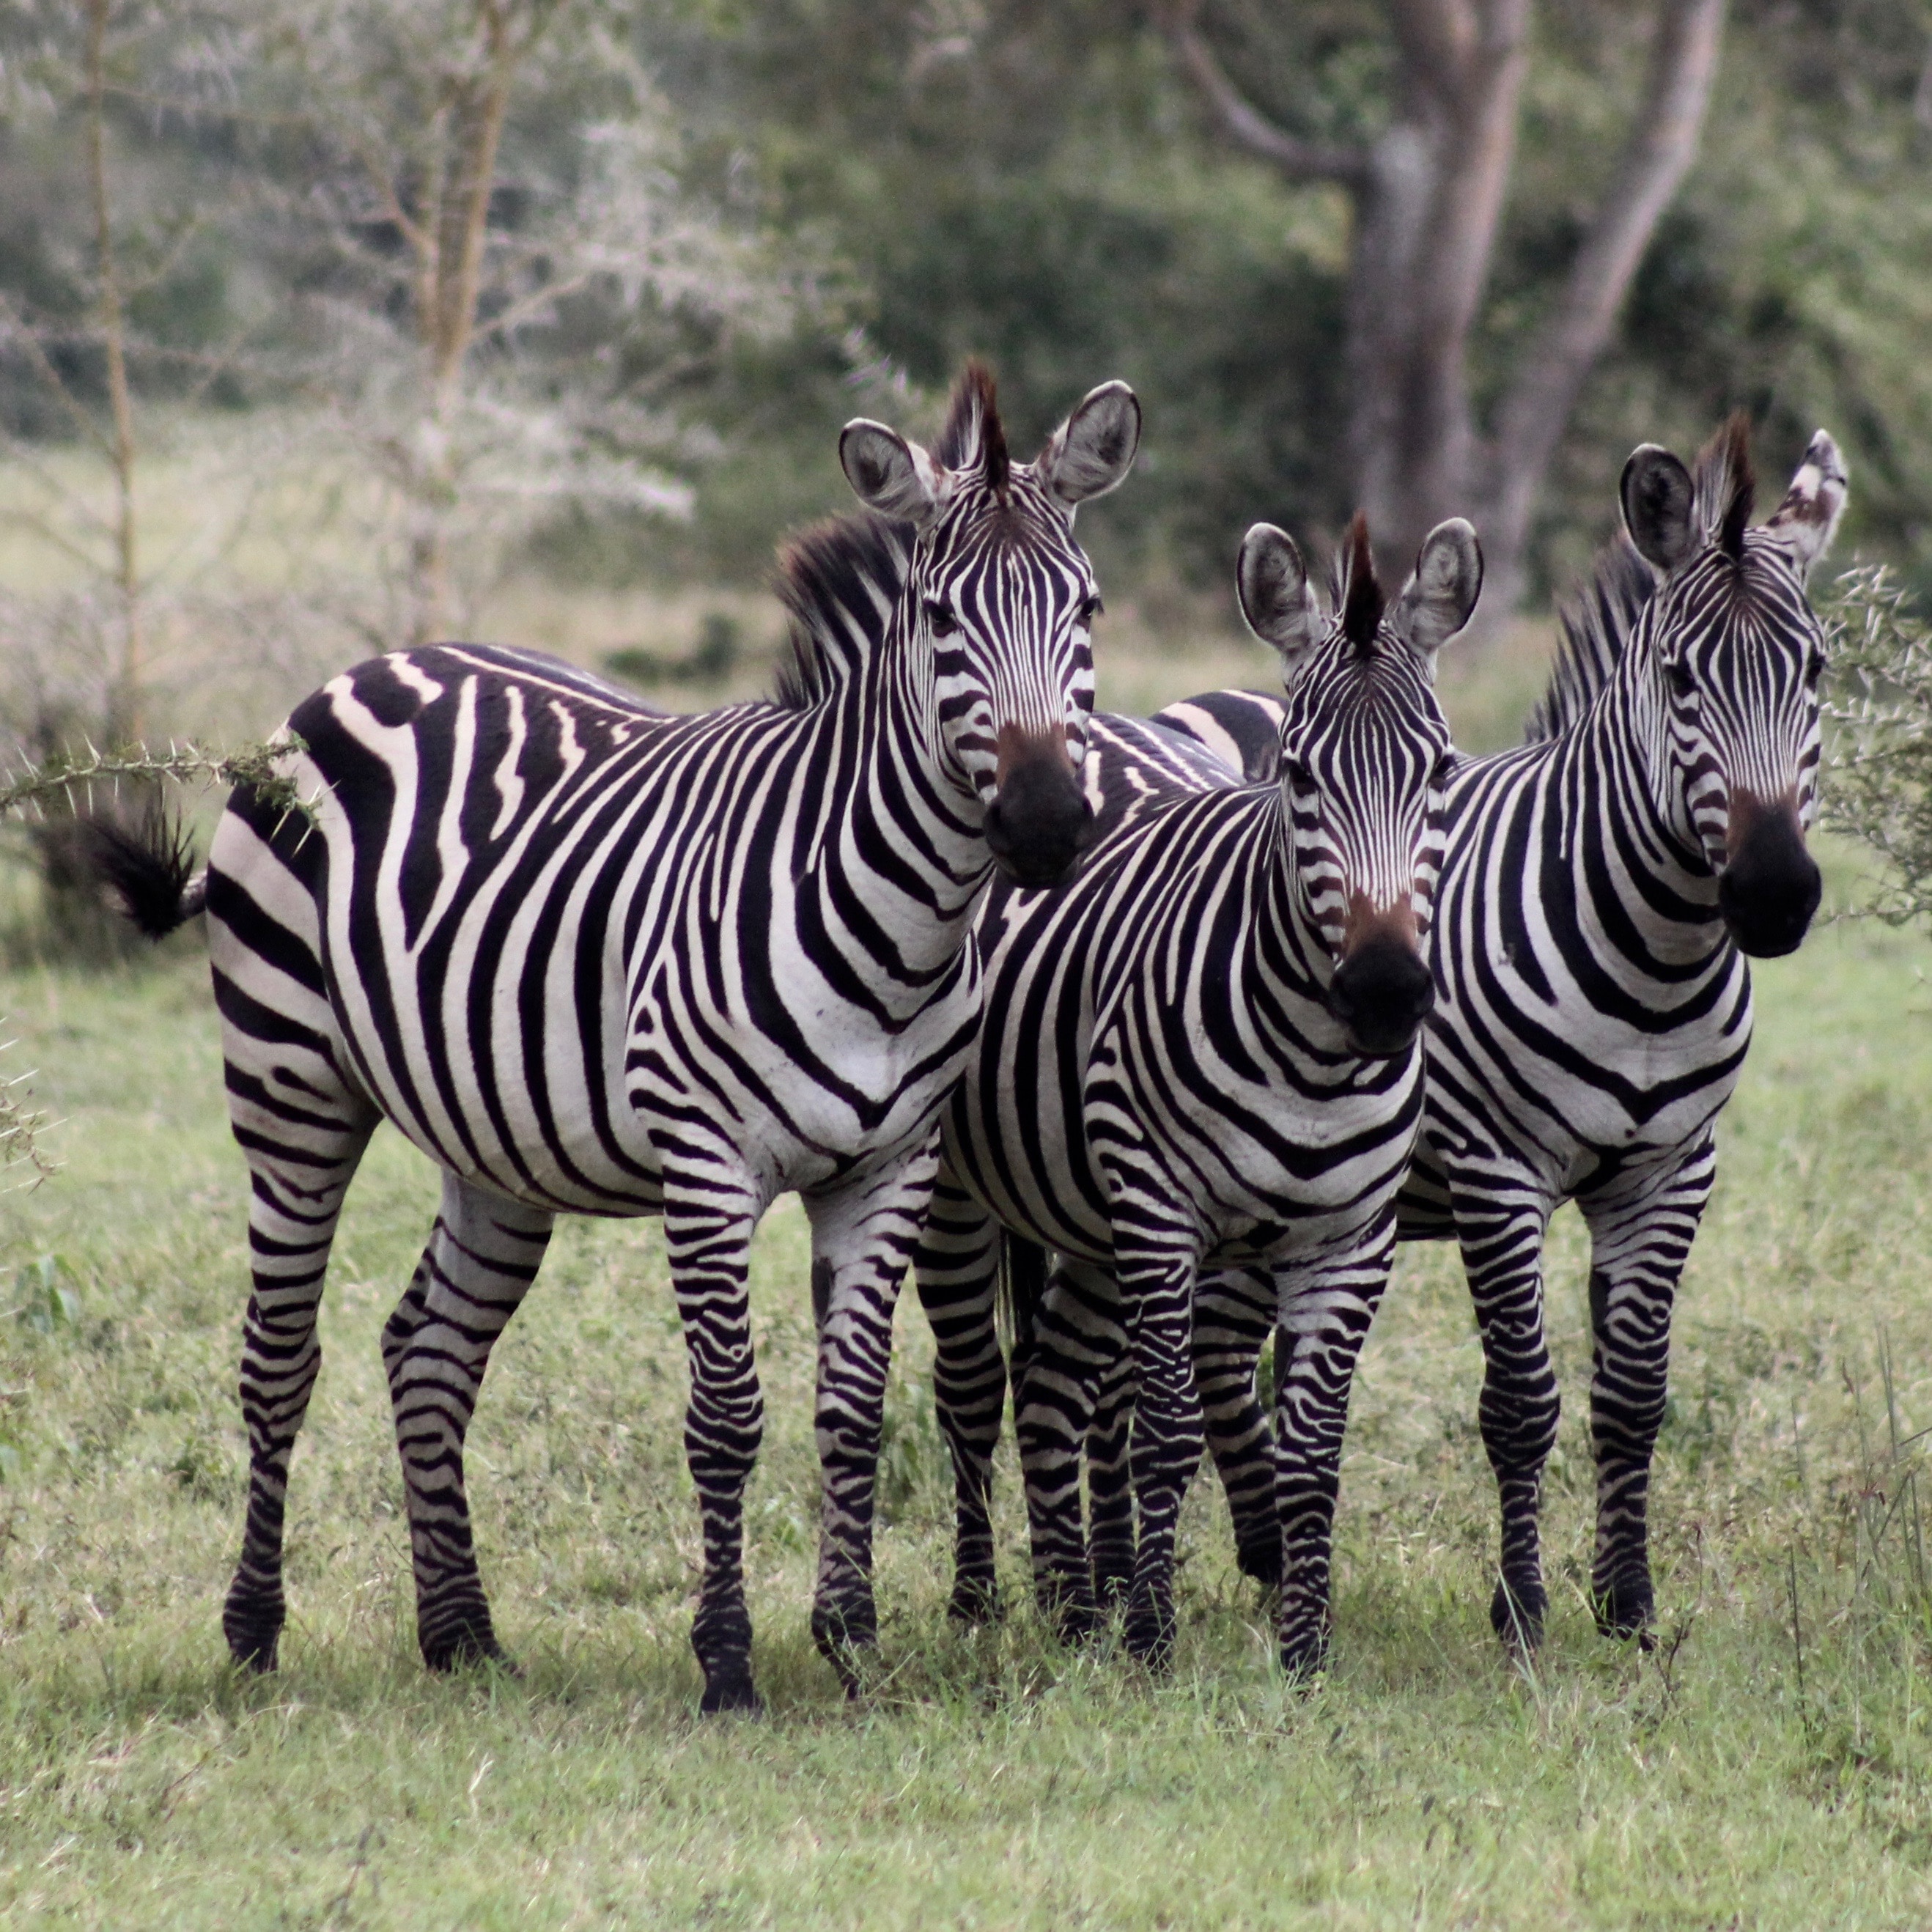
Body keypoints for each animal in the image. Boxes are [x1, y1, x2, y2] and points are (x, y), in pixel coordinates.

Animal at [90, 363, 1135, 1708]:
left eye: (1087, 609)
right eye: (941, 617)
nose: (1051, 825)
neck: (896, 926)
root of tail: (366, 670)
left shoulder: (891, 1167)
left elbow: (852, 1408)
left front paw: (851, 1641)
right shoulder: (707, 1159)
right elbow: (729, 1414)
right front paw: (728, 1660)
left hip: (490, 1136)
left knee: (427, 1351)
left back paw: (461, 1633)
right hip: (291, 1087)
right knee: (280, 1355)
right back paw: (255, 1631)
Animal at [912, 514, 1483, 1677]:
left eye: (1441, 770)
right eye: (1299, 777)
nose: (1384, 990)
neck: (1316, 1063)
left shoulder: (1350, 1238)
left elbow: (1312, 1449)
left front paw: (1305, 1651)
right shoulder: (1163, 1212)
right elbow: (1169, 1434)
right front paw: (1152, 1639)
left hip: (1087, 1218)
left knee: (1051, 1389)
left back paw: (1069, 1612)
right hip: (973, 1197)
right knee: (973, 1391)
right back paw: (986, 1604)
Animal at [1089, 423, 1839, 1661]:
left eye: (1818, 672)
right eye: (1680, 679)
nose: (1774, 895)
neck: (1655, 955)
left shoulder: (1672, 1171)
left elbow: (1635, 1397)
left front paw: (1628, 1605)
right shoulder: (1499, 1171)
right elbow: (1523, 1400)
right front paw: (1523, 1610)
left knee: (1218, 1352)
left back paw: (1258, 1558)